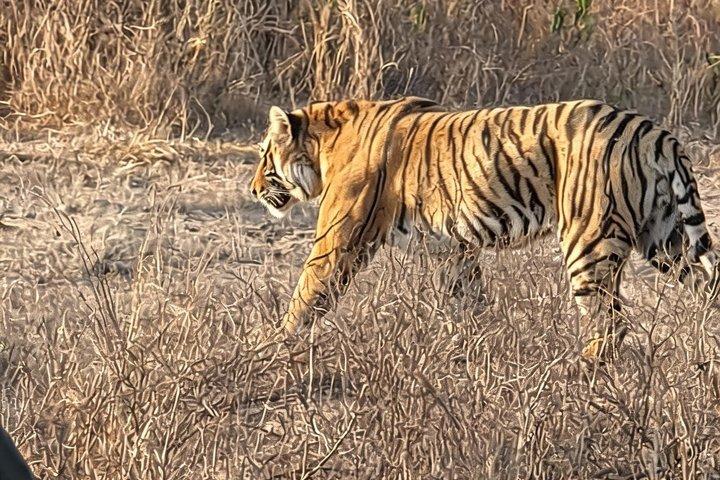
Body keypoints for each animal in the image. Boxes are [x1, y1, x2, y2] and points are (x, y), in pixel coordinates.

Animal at [249, 96, 720, 359]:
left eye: (263, 153)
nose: (252, 189)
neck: (324, 144)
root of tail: (652, 130)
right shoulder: (454, 249)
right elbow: (466, 300)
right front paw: (472, 349)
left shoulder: (339, 238)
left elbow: (308, 292)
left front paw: (274, 345)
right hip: (667, 238)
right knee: (706, 288)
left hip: (589, 242)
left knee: (610, 322)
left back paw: (580, 372)